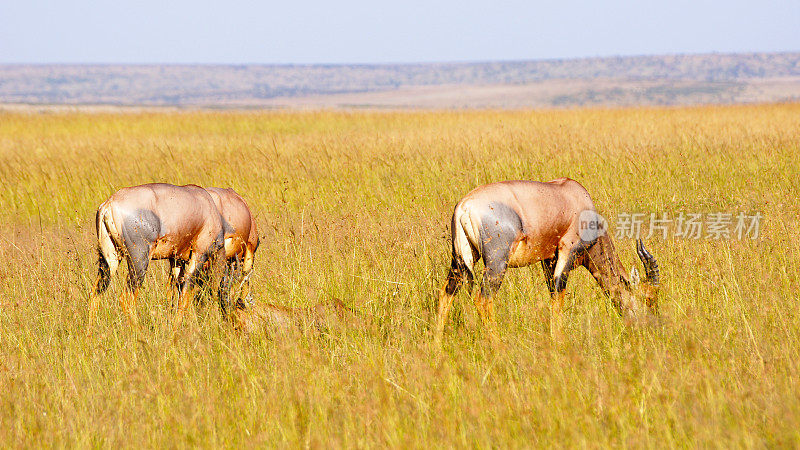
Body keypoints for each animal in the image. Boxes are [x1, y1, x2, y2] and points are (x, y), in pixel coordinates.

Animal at [92, 183, 227, 334]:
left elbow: (175, 291)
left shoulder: (176, 260)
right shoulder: (199, 254)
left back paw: (89, 333)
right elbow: (186, 293)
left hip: (109, 259)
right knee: (126, 298)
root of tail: (109, 204)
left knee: (96, 292)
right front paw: (175, 331)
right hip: (139, 261)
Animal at [434, 178, 660, 342]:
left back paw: (436, 344)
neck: (574, 196)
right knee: (483, 298)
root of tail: (463, 206)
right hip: (497, 262)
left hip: (461, 259)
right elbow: (559, 292)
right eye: (648, 297)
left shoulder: (548, 260)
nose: (648, 329)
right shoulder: (567, 251)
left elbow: (552, 292)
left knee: (447, 291)